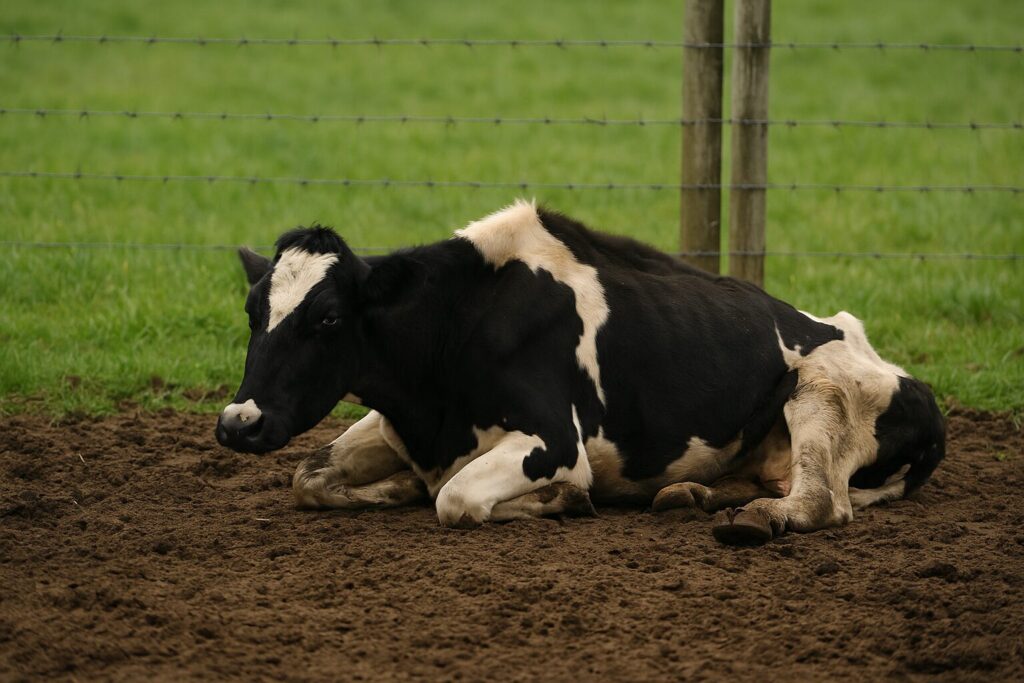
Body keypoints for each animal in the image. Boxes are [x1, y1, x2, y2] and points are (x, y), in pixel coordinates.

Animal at [215, 200, 945, 544]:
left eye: (327, 318)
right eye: (252, 310)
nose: (237, 422)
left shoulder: (553, 441)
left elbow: (455, 497)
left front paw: (562, 499)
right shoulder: (402, 426)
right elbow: (309, 477)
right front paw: (393, 488)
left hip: (818, 388)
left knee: (821, 500)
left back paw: (756, 517)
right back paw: (692, 495)